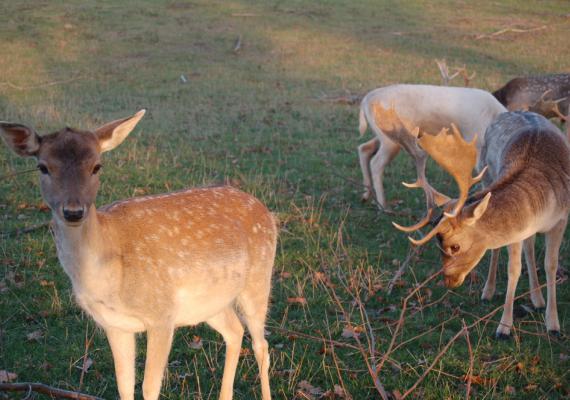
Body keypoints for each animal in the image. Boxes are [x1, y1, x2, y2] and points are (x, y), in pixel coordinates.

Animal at [0, 110, 276, 400]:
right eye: (43, 167)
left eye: (97, 166)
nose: (73, 211)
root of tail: (267, 212)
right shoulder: (114, 324)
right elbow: (124, 384)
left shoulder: (162, 313)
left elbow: (150, 386)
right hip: (210, 301)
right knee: (234, 331)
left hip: (259, 279)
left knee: (262, 346)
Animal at [358, 83, 504, 211]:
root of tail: (365, 101)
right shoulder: (475, 143)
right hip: (391, 139)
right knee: (376, 163)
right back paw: (383, 206)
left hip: (386, 136)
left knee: (363, 148)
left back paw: (366, 195)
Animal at [392, 111, 564, 338]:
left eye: (455, 246)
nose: (449, 281)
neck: (543, 206)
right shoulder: (518, 230)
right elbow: (513, 270)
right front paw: (504, 328)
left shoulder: (561, 219)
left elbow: (550, 265)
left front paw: (553, 324)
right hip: (486, 174)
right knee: (503, 249)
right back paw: (488, 292)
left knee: (529, 245)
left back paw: (538, 300)